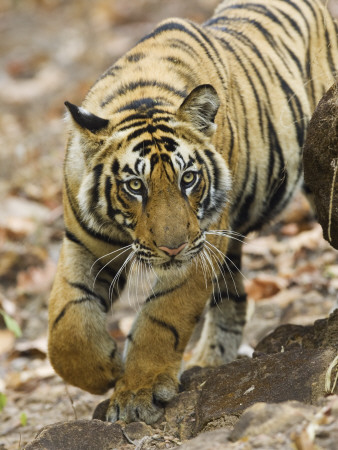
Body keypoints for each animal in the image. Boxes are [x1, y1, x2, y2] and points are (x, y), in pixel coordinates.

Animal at [47, 0, 338, 426]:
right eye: (135, 186)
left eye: (188, 178)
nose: (172, 248)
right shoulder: (84, 243)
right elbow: (66, 325)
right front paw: (105, 368)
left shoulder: (202, 243)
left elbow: (163, 316)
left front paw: (138, 392)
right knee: (233, 298)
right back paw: (209, 362)